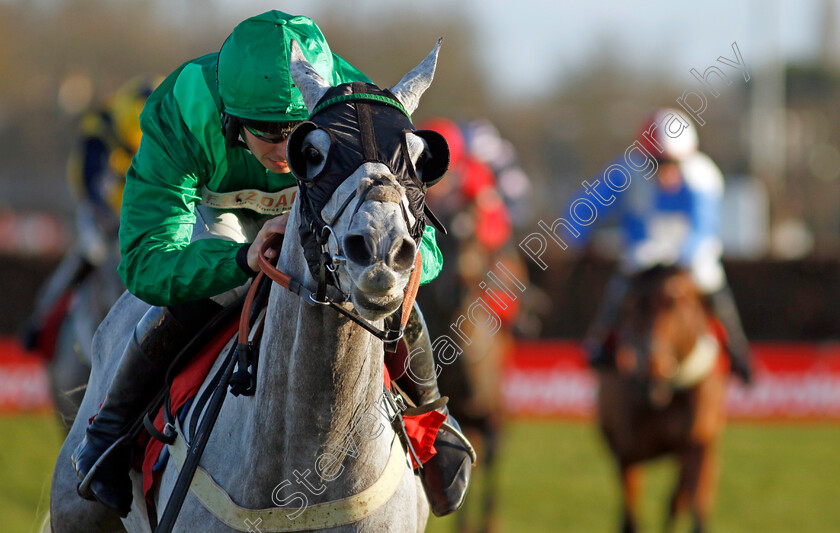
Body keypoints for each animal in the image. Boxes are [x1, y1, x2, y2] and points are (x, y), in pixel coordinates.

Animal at [596, 264, 728, 532]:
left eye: (676, 305)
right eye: (631, 306)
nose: (651, 371)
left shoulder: (696, 443)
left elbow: (694, 506)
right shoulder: (627, 451)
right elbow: (630, 516)